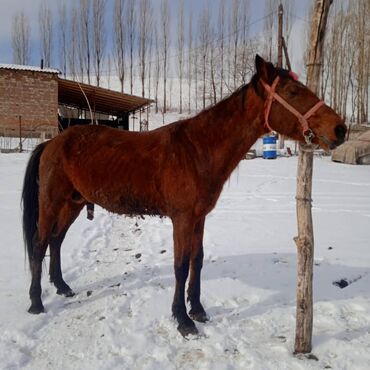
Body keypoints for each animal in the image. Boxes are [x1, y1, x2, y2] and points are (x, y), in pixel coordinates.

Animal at [21, 55, 346, 336]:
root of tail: (52, 143)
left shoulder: (199, 218)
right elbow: (180, 266)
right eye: (292, 91)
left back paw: (62, 286)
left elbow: (196, 260)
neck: (197, 150)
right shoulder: (182, 219)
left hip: (73, 204)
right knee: (39, 244)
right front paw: (182, 319)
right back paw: (36, 302)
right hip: (51, 202)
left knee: (56, 240)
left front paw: (198, 309)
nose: (340, 129)